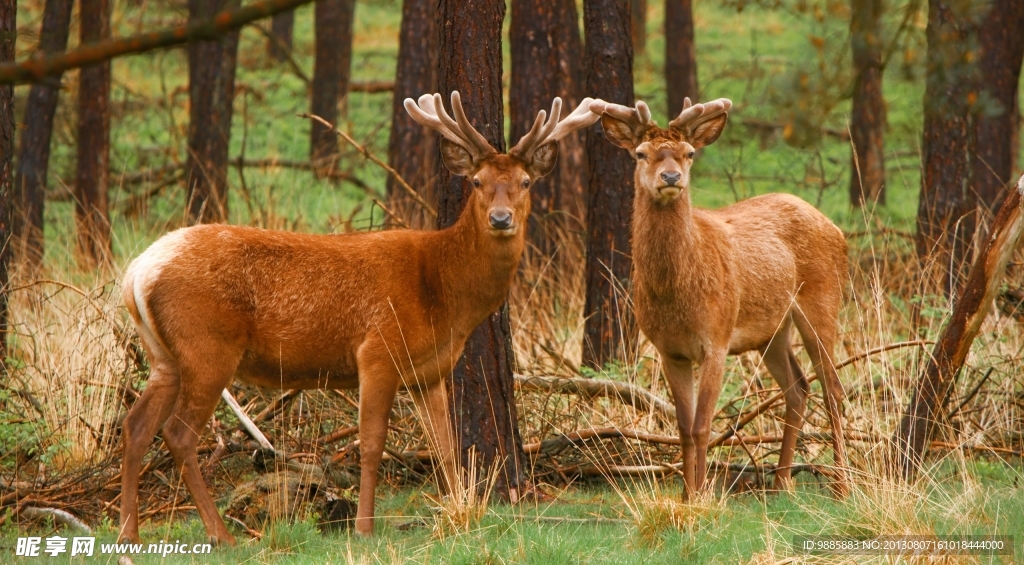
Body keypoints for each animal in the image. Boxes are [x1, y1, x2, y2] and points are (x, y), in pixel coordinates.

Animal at [117, 91, 598, 544]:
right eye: (477, 181)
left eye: (525, 181)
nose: (501, 218)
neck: (442, 295)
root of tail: (137, 271)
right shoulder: (378, 351)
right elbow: (371, 444)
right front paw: (365, 527)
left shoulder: (429, 372)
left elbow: (445, 447)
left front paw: (460, 513)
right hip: (207, 347)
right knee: (178, 434)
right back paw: (221, 535)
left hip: (164, 356)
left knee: (136, 426)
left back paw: (129, 535)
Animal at [589, 97, 851, 499]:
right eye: (640, 153)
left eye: (689, 153)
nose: (671, 178)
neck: (675, 294)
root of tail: (837, 229)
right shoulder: (669, 350)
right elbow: (683, 427)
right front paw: (685, 494)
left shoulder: (717, 337)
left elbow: (702, 425)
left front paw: (700, 495)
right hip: (772, 330)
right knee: (798, 387)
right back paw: (780, 483)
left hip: (823, 300)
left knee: (833, 388)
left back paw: (841, 486)